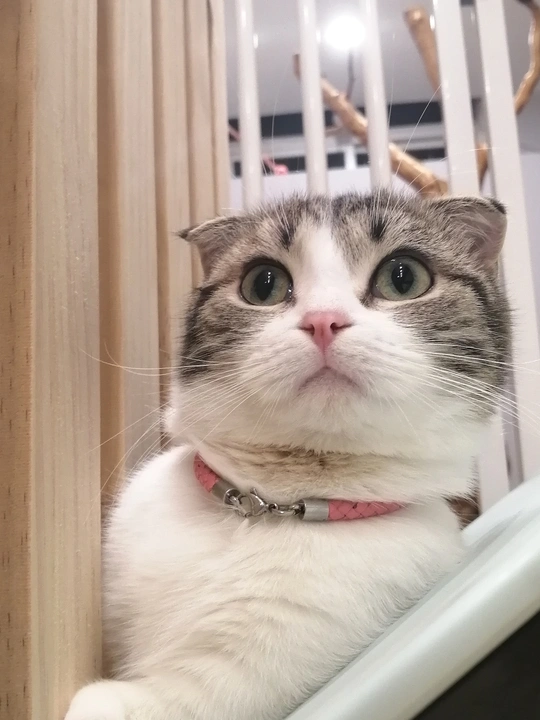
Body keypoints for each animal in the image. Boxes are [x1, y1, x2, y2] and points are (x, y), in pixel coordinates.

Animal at [66, 191, 510, 720]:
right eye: (263, 283)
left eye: (404, 277)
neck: (265, 509)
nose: (322, 320)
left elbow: (162, 699)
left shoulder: (255, 670)